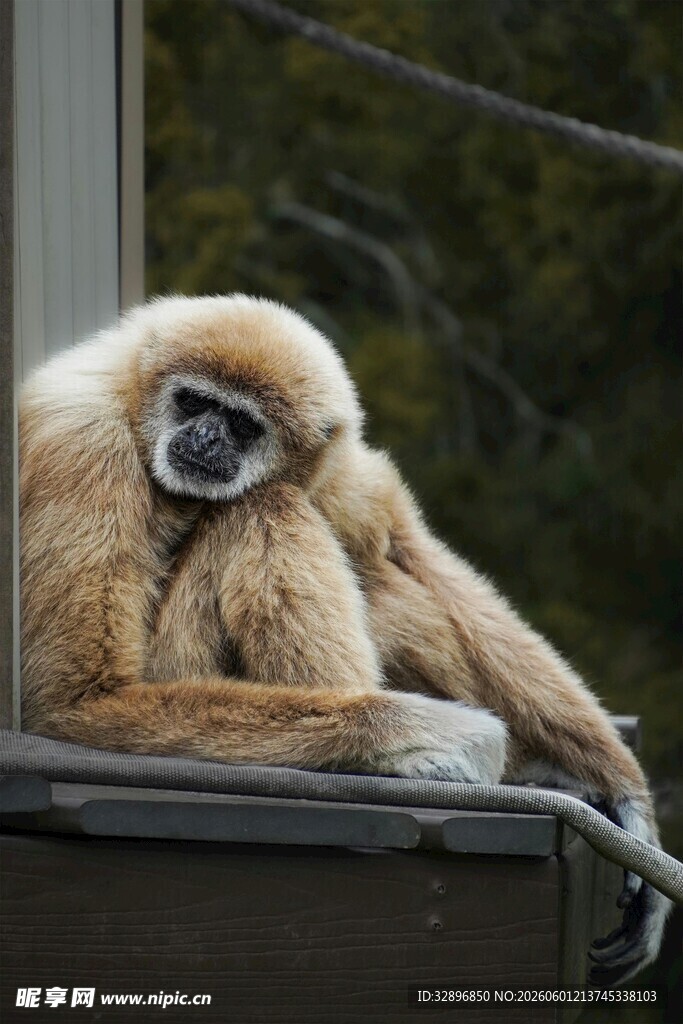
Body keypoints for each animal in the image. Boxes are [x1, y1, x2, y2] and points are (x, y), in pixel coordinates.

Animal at [19, 294, 669, 985]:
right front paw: (431, 736)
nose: (205, 437)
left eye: (243, 425)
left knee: (317, 530)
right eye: (193, 403)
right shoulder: (83, 448)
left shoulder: (327, 465)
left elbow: (410, 548)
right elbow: (79, 698)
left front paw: (625, 793)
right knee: (264, 508)